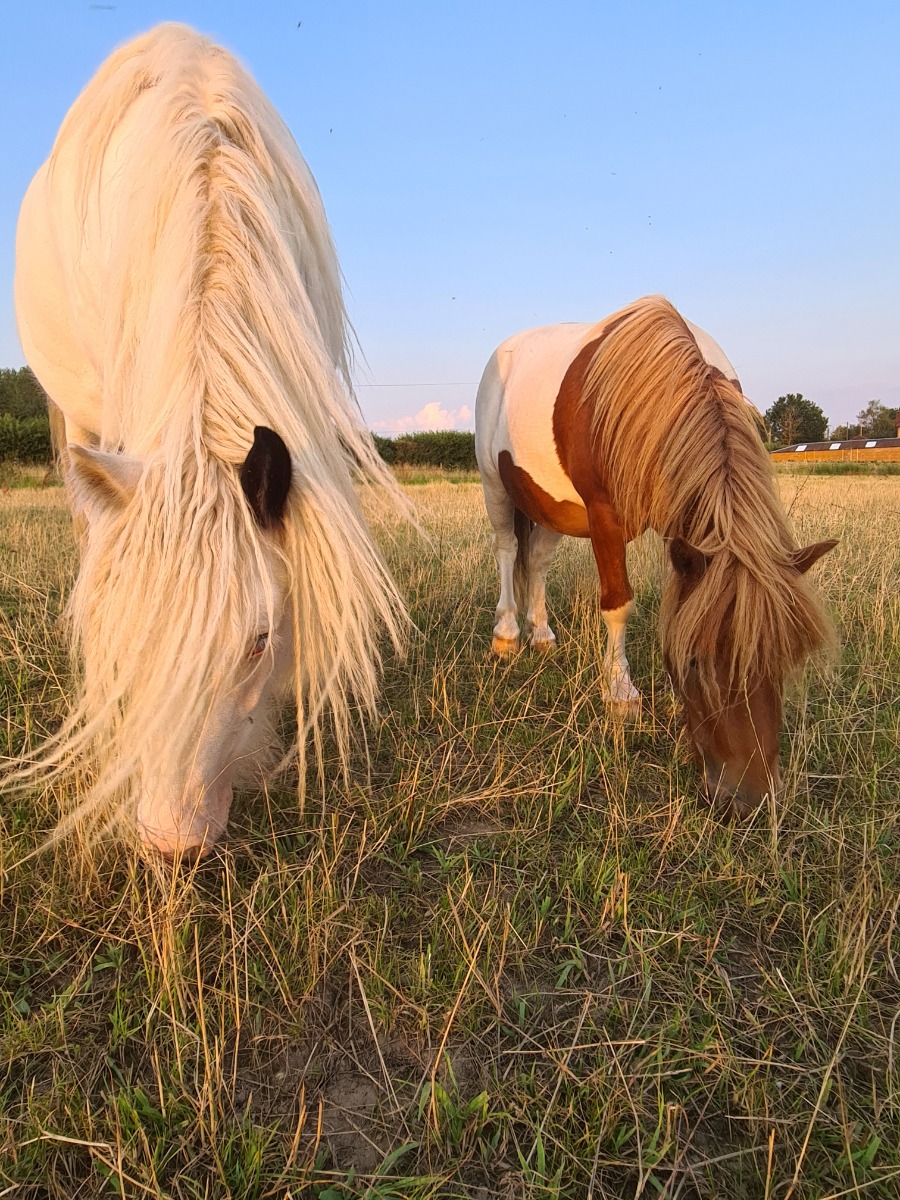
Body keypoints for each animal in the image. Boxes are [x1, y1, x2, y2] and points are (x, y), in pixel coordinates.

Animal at [480, 296, 840, 816]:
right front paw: (621, 695)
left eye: (782, 658)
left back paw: (542, 634)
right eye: (694, 664)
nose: (750, 800)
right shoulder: (605, 517)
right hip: (495, 484)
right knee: (508, 550)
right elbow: (618, 603)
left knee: (540, 561)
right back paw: (507, 635)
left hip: (551, 505)